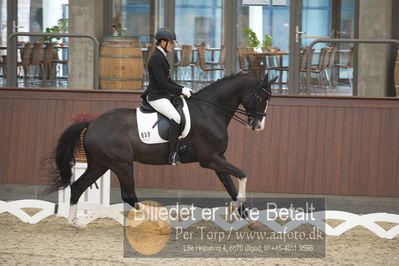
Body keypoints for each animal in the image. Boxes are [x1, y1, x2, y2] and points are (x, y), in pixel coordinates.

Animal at [47, 71, 276, 228]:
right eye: (261, 98)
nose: (259, 126)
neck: (210, 110)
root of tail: (92, 123)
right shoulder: (210, 159)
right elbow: (242, 174)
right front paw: (240, 209)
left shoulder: (218, 159)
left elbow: (231, 187)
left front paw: (249, 219)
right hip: (122, 164)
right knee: (128, 195)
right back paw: (158, 223)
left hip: (100, 164)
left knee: (77, 187)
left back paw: (75, 223)